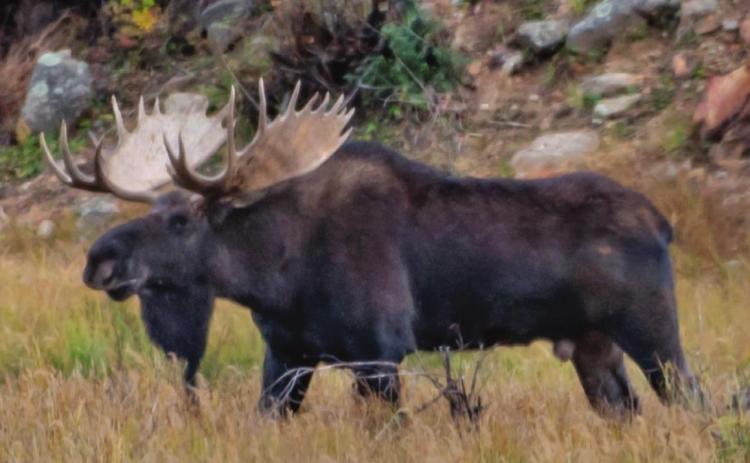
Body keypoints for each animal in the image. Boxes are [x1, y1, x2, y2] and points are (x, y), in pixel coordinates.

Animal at [41, 81, 701, 416]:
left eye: (179, 220)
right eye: (151, 211)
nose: (98, 260)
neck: (275, 278)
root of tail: (663, 223)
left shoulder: (380, 351)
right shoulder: (287, 356)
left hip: (651, 331)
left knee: (693, 401)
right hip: (593, 346)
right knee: (629, 409)